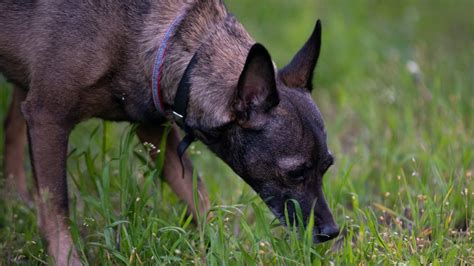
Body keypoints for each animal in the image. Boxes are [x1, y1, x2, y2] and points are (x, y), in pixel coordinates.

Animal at [1, 0, 338, 264]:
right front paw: (67, 259)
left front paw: (225, 247)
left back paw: (16, 199)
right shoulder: (48, 117)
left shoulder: (154, 131)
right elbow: (56, 206)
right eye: (295, 173)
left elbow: (196, 193)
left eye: (327, 167)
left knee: (12, 128)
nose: (332, 232)